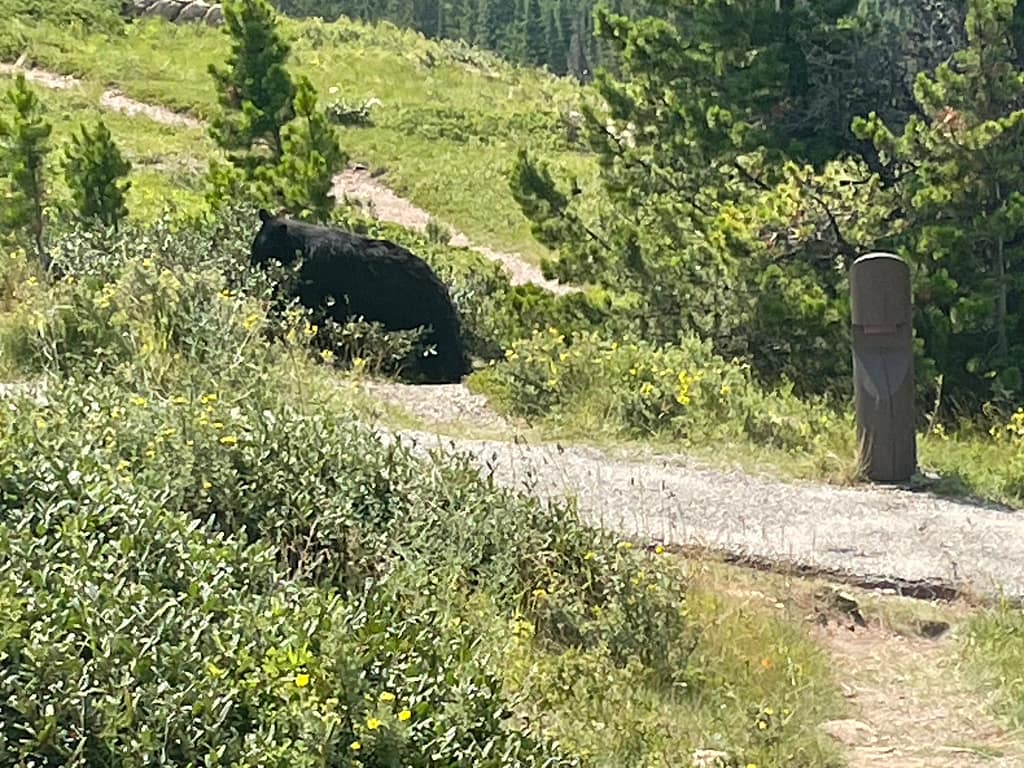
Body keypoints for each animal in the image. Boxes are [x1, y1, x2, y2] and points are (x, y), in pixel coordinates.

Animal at [249, 208, 472, 384]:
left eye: (262, 251)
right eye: (255, 247)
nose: (252, 266)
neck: (298, 247)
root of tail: (441, 285)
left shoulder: (316, 276)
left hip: (421, 311)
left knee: (442, 342)